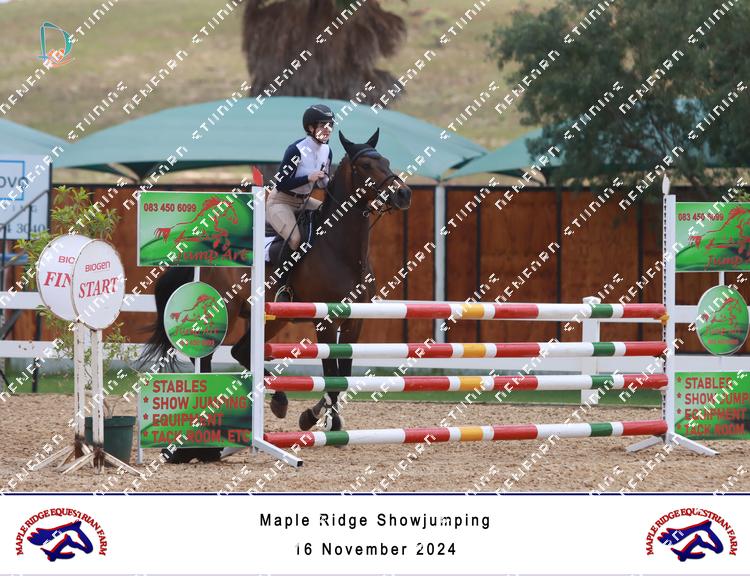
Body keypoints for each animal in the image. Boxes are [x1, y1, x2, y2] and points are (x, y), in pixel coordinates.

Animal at [141, 129, 411, 461]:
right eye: (366, 166)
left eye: (386, 161)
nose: (404, 194)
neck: (342, 250)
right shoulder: (325, 320)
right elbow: (331, 374)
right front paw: (325, 421)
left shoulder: (353, 322)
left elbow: (342, 375)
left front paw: (317, 416)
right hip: (224, 310)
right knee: (207, 358)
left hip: (269, 319)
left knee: (241, 352)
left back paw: (277, 402)